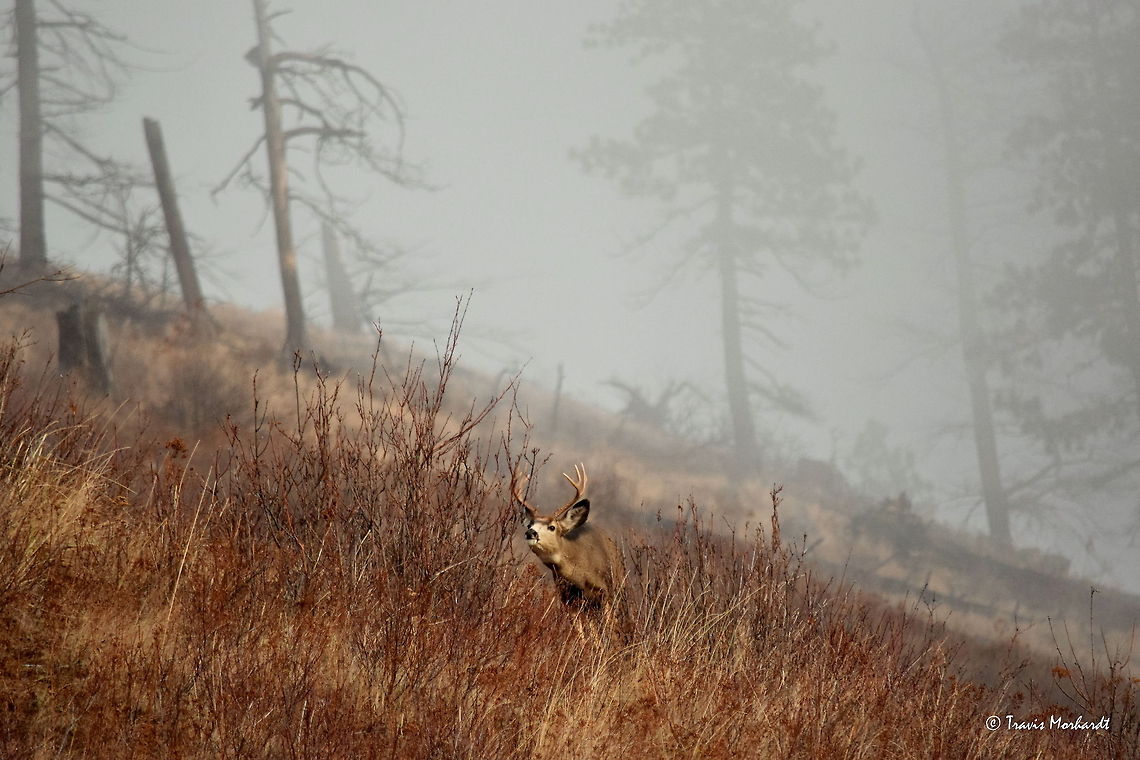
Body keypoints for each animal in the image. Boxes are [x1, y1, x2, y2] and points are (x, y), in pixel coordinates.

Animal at [512, 464, 625, 633]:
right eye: (530, 524)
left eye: (552, 527)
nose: (530, 532)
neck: (580, 577)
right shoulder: (567, 600)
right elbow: (581, 632)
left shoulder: (604, 592)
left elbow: (609, 627)